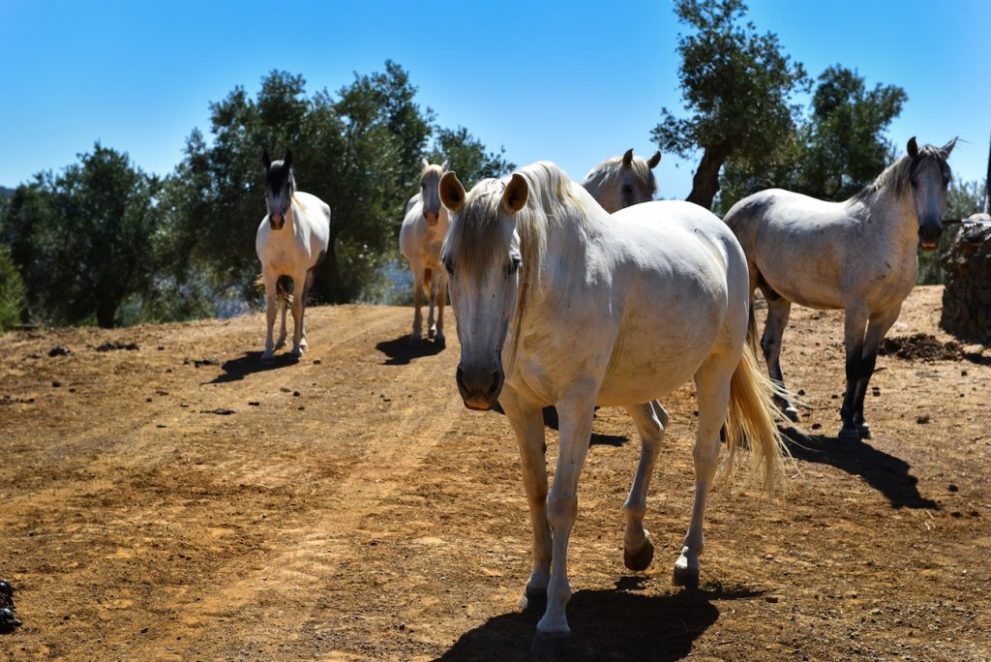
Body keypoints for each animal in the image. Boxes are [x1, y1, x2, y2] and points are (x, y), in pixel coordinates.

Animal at [256, 150, 334, 360]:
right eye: (266, 183)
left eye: (288, 184)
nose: (276, 220)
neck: (281, 239)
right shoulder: (270, 273)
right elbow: (272, 310)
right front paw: (268, 350)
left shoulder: (300, 273)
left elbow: (298, 307)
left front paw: (296, 348)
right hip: (283, 275)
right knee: (285, 303)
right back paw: (282, 339)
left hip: (309, 273)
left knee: (302, 302)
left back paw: (302, 340)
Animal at [402, 160, 452, 348]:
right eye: (423, 184)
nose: (431, 216)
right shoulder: (418, 264)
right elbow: (417, 296)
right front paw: (416, 334)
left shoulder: (444, 268)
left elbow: (440, 298)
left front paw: (440, 334)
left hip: (436, 269)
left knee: (433, 294)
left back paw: (432, 328)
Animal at [438, 162, 788, 660]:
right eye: (449, 262)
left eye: (513, 263)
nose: (477, 382)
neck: (552, 290)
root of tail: (721, 232)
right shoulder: (520, 405)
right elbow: (535, 493)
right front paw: (537, 584)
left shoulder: (577, 405)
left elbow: (561, 503)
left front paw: (554, 620)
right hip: (634, 385)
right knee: (655, 429)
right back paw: (636, 544)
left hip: (715, 372)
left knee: (703, 459)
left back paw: (688, 559)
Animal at [724, 137, 956, 444]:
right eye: (914, 181)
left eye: (945, 179)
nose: (930, 232)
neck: (879, 233)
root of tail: (736, 208)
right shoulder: (857, 311)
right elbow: (852, 364)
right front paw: (847, 424)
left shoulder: (887, 314)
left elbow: (867, 366)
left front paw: (861, 421)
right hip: (747, 289)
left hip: (778, 296)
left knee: (770, 345)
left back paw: (787, 406)